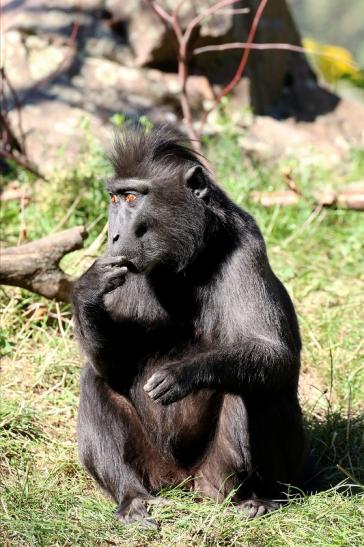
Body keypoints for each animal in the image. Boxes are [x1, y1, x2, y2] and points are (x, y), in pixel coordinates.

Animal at [72, 126, 306, 528]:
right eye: (115, 199)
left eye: (132, 197)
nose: (113, 236)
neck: (184, 262)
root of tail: (181, 482)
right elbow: (113, 366)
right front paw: (87, 289)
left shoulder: (246, 249)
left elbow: (275, 353)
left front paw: (181, 374)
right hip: (153, 468)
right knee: (95, 379)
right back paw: (132, 497)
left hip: (226, 471)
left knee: (251, 385)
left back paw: (247, 499)